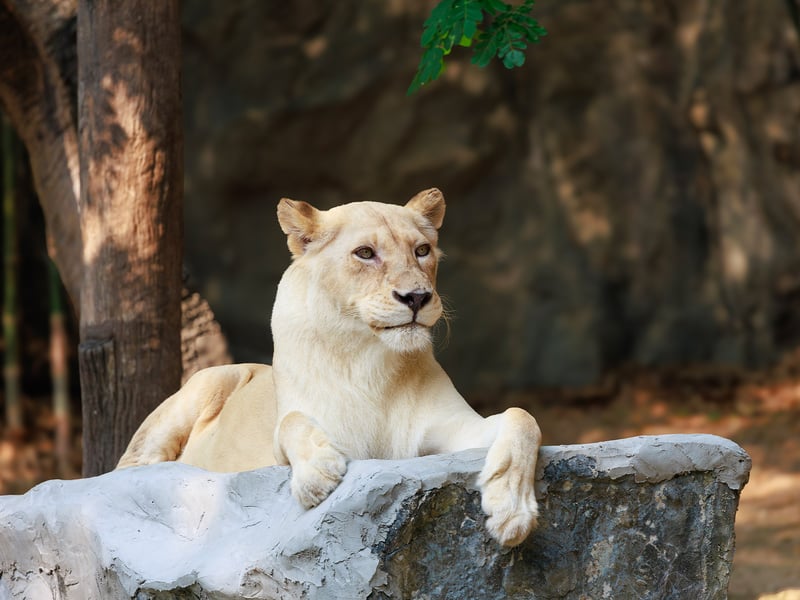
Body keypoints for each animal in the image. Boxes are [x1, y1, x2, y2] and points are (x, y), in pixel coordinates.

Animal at [117, 188, 542, 547]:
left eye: (422, 250)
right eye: (365, 253)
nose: (417, 297)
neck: (369, 361)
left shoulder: (448, 433)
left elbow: (522, 418)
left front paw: (512, 511)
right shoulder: (280, 446)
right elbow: (290, 422)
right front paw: (317, 476)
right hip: (213, 378)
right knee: (128, 467)